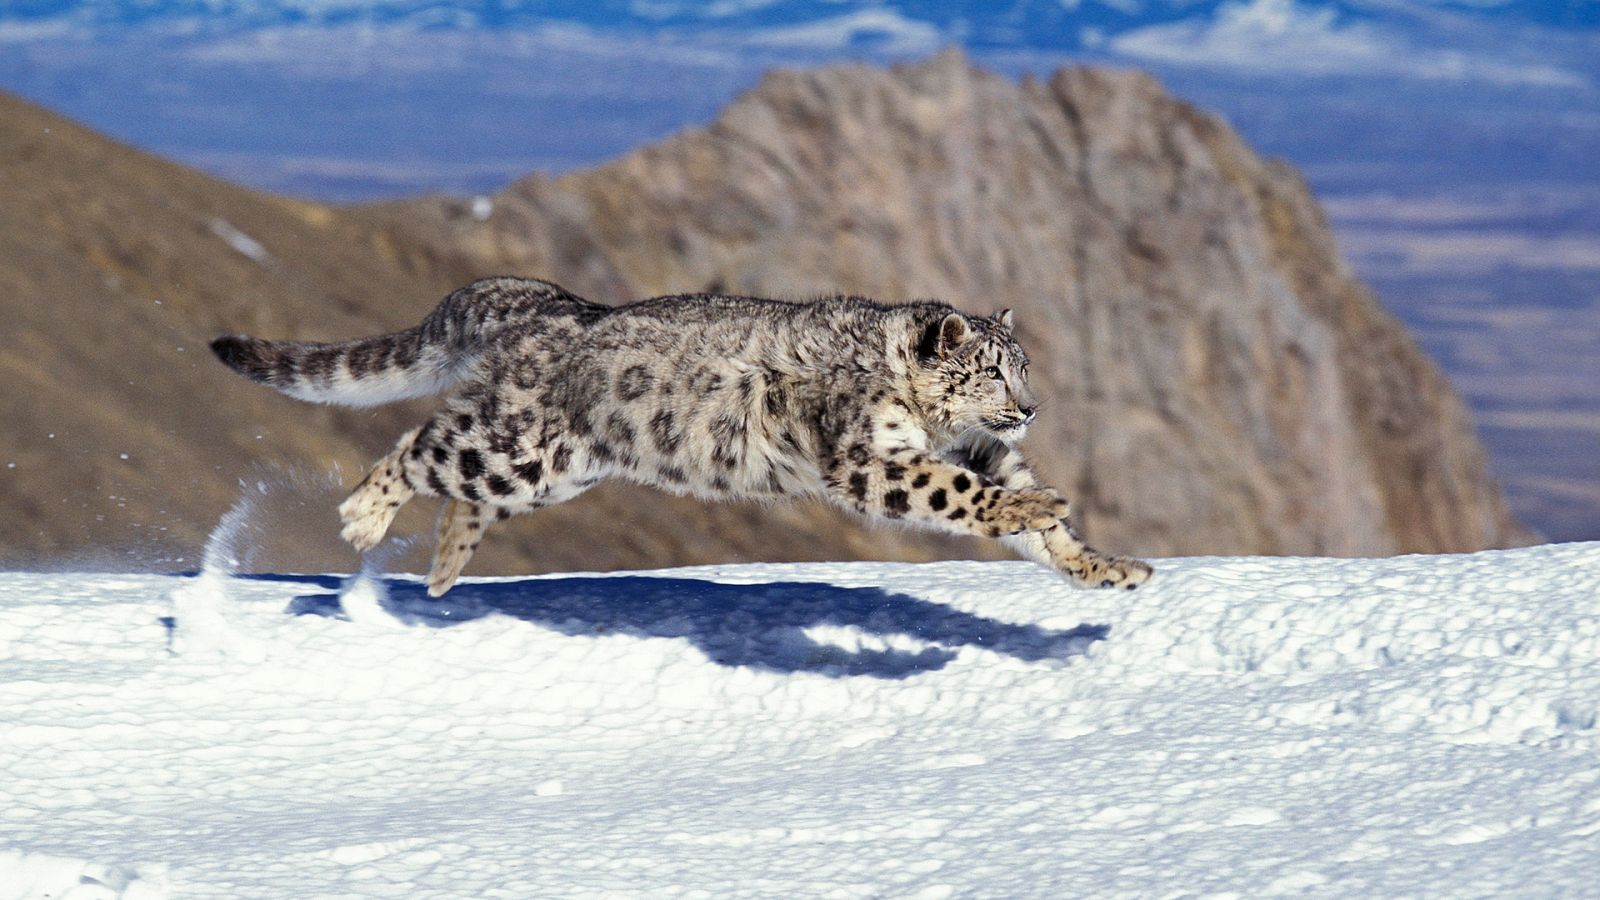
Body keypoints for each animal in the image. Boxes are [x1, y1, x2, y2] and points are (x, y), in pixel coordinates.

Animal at [211, 276, 1153, 596]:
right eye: (992, 371)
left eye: (1021, 367)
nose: (1029, 408)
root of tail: (549, 302)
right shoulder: (868, 457)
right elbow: (959, 492)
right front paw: (1033, 505)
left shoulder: (976, 448)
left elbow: (1012, 498)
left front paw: (1104, 564)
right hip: (519, 445)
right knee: (422, 444)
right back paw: (365, 517)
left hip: (553, 469)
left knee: (460, 482)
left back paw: (444, 569)